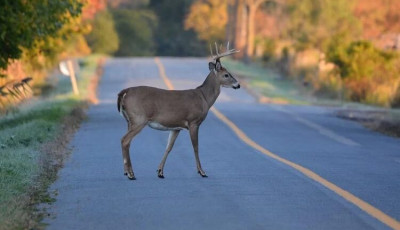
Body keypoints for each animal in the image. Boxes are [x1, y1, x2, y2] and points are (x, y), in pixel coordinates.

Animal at [117, 42, 239, 180]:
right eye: (226, 74)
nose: (238, 84)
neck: (204, 98)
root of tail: (124, 92)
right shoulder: (193, 121)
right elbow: (196, 147)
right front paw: (202, 171)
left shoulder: (176, 127)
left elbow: (169, 147)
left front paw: (160, 171)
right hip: (139, 119)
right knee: (124, 140)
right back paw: (131, 174)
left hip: (129, 121)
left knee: (127, 142)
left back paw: (127, 171)